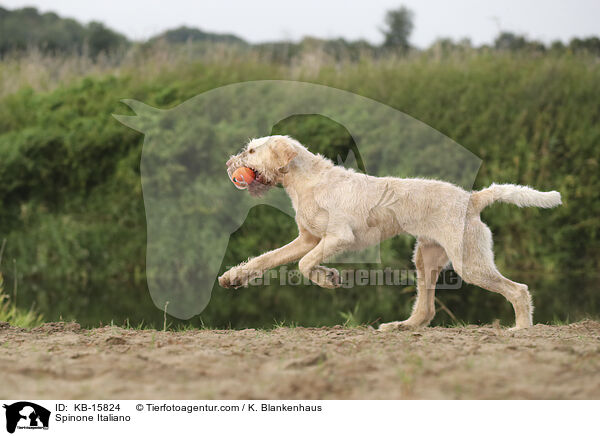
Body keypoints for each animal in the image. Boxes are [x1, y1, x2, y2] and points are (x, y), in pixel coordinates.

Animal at [220, 135, 564, 328]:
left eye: (251, 151)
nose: (228, 164)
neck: (306, 181)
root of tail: (473, 199)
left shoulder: (337, 238)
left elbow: (304, 265)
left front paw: (328, 278)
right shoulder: (308, 239)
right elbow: (267, 259)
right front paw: (234, 277)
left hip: (469, 264)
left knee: (519, 290)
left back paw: (521, 330)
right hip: (426, 259)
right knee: (426, 310)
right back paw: (402, 326)